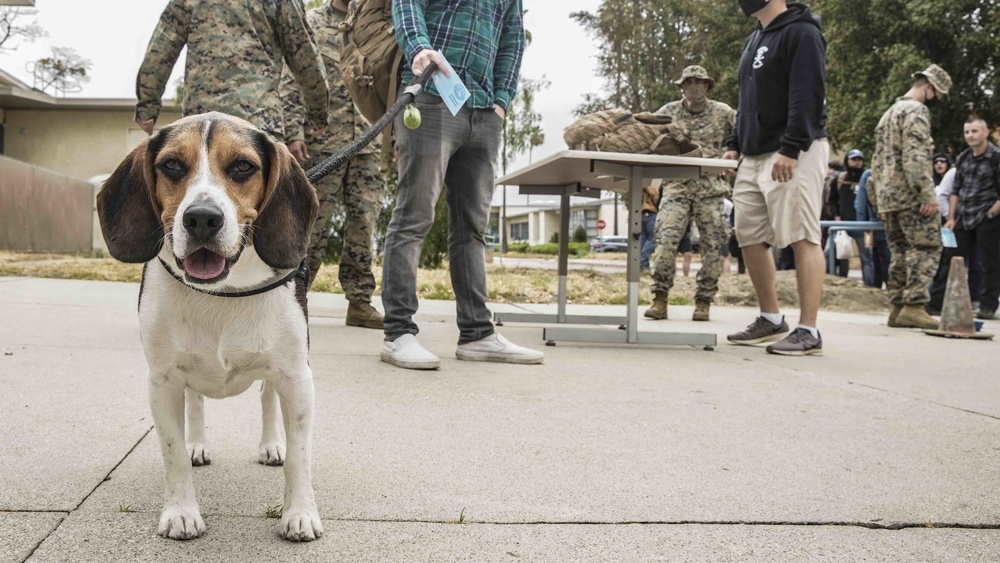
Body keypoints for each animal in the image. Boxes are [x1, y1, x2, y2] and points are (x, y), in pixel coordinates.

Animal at [97, 113, 320, 540]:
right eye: (171, 165)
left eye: (243, 167)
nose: (201, 218)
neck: (222, 293)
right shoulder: (163, 381)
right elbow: (173, 453)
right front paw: (181, 512)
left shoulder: (297, 378)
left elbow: (300, 457)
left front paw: (300, 513)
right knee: (197, 403)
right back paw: (198, 444)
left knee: (267, 398)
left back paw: (271, 445)